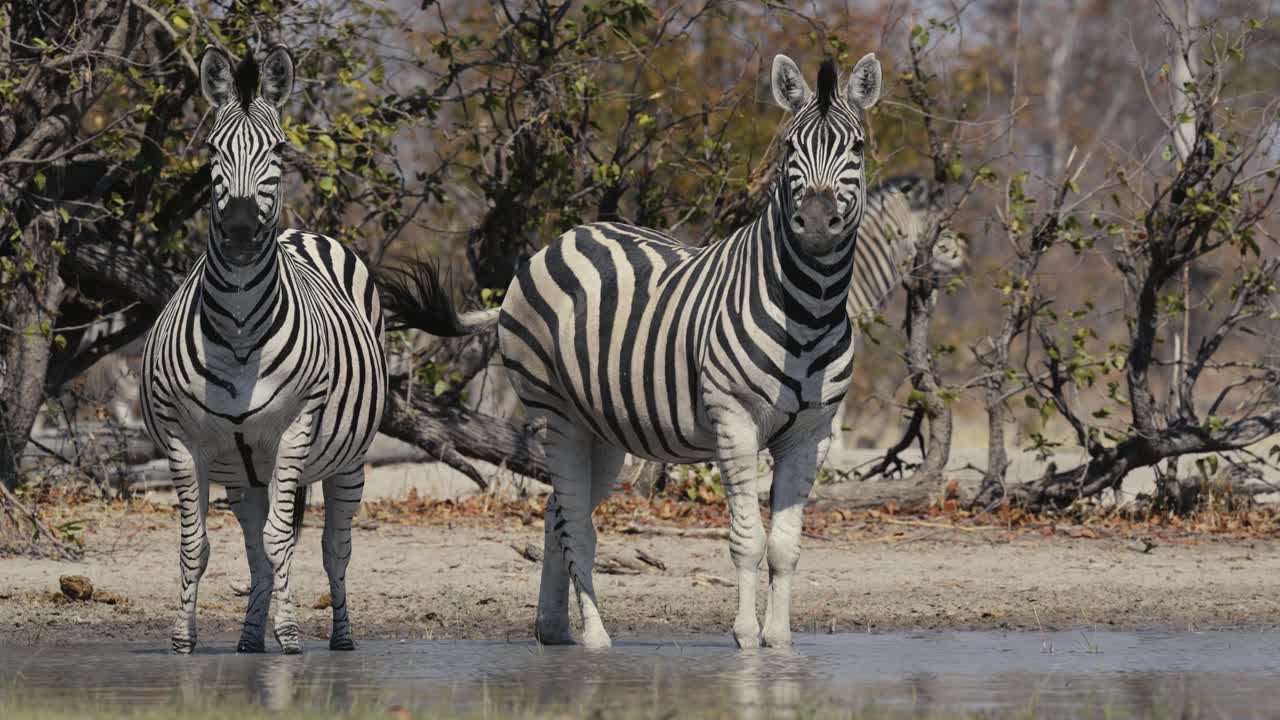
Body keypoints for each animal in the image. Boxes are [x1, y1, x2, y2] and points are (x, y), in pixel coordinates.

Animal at [140, 45, 387, 655]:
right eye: (211, 149)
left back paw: (340, 637)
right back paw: (251, 637)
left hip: (347, 460)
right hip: (243, 469)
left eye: (278, 149)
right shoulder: (183, 440)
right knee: (256, 546)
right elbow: (198, 545)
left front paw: (292, 637)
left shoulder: (294, 430)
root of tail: (306, 233)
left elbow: (284, 544)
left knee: (332, 548)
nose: (239, 231)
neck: (238, 327)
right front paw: (183, 642)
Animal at [385, 53, 883, 649]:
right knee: (576, 523)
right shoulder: (734, 419)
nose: (815, 224)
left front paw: (780, 644)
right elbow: (747, 539)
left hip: (601, 432)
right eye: (789, 147)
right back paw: (596, 638)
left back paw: (553, 628)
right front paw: (745, 640)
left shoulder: (812, 433)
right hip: (554, 413)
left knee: (557, 512)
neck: (808, 311)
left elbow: (785, 547)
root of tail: (556, 242)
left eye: (857, 147)